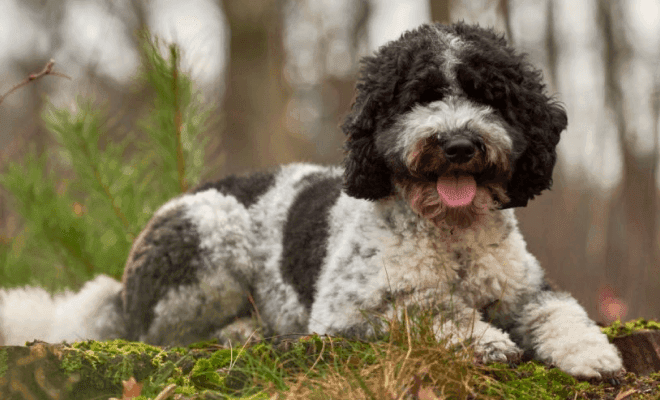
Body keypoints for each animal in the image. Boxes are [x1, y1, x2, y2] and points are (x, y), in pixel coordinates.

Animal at [0, 22, 620, 382]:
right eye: (417, 97)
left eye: (490, 96)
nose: (459, 144)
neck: (451, 232)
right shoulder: (347, 313)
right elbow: (425, 310)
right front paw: (488, 341)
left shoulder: (526, 289)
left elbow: (560, 311)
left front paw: (591, 356)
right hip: (209, 237)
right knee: (157, 334)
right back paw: (241, 333)